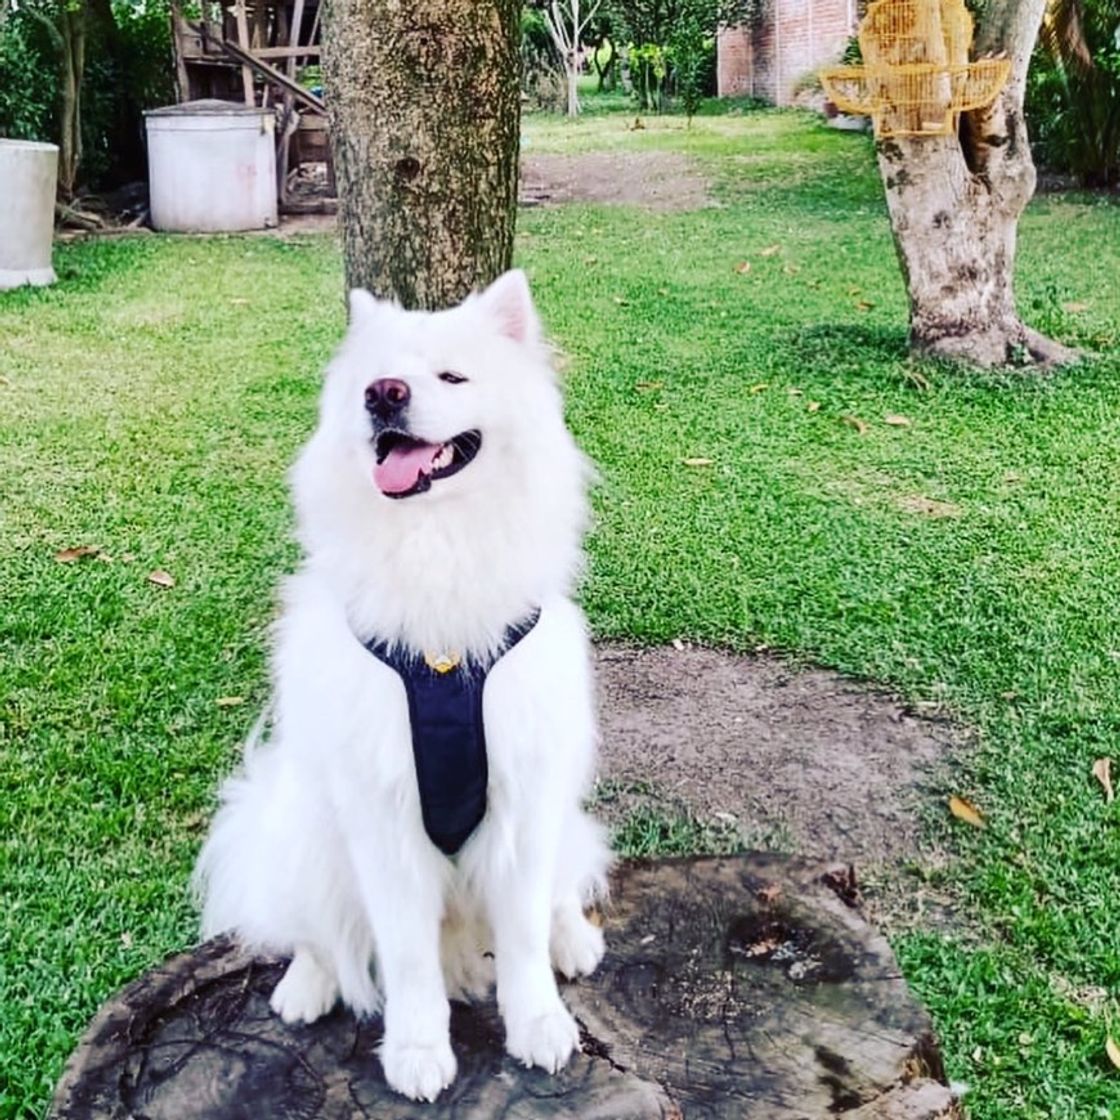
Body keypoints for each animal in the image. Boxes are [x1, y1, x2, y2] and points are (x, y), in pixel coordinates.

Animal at [193, 268, 613, 1102]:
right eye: (373, 381)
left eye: (452, 376)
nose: (383, 394)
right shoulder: (383, 816)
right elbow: (408, 956)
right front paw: (418, 1051)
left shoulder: (523, 803)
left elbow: (522, 936)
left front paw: (539, 1025)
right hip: (307, 834)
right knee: (320, 935)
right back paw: (306, 985)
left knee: (560, 893)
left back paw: (574, 941)